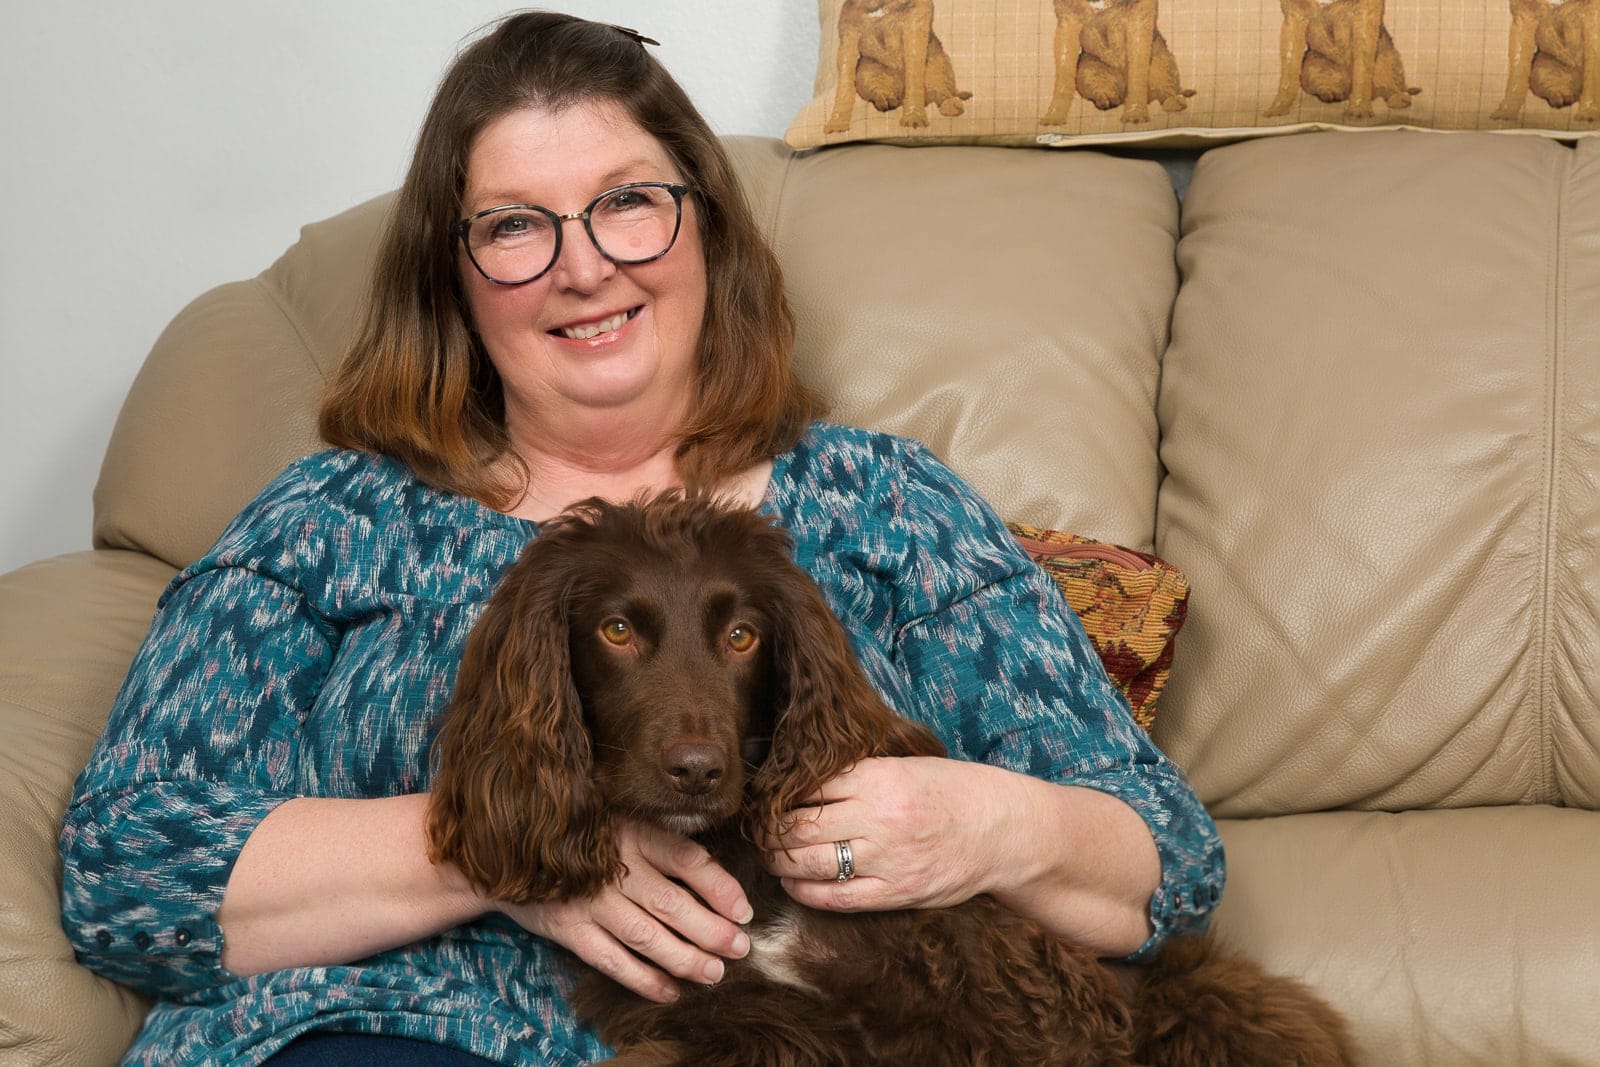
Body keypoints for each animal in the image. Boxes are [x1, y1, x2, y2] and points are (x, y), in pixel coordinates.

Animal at [832, 0, 966, 133]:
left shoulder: (916, 18)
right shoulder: (849, 30)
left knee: (942, 91)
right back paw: (885, 101)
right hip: (866, 70)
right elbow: (844, 82)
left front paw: (913, 117)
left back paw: (951, 105)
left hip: (937, 66)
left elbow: (914, 74)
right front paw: (836, 124)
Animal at [1043, 0, 1196, 125]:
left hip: (1161, 63)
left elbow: (1137, 70)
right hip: (1086, 71)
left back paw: (1174, 102)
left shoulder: (1140, 14)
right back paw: (1106, 100)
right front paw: (1054, 117)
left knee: (1166, 90)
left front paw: (1135, 114)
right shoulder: (1067, 19)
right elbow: (1063, 76)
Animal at [1267, 0, 1420, 117]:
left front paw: (1359, 109)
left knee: (1391, 87)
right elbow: (1288, 70)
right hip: (1310, 67)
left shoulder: (1365, 14)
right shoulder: (1294, 16)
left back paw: (1399, 99)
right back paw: (1330, 93)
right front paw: (1278, 107)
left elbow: (1362, 71)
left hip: (1387, 60)